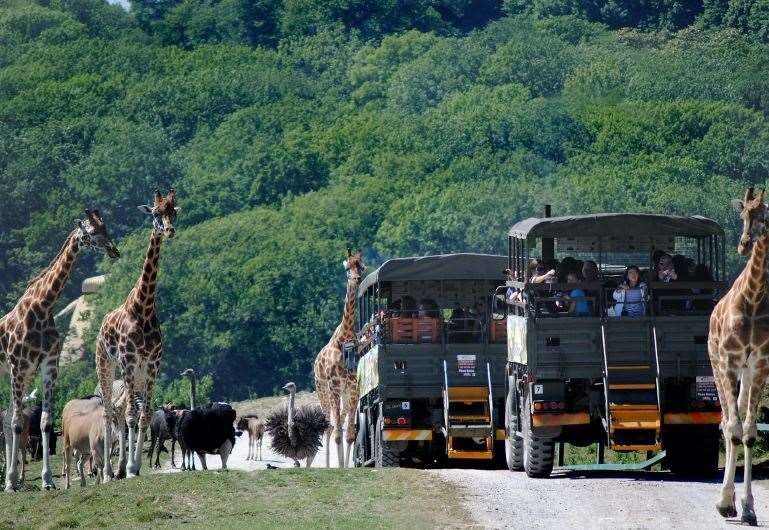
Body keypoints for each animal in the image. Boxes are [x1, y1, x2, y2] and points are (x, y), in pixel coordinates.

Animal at [0, 208, 119, 488]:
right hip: (10, 374)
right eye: (92, 232)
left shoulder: (48, 366)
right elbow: (17, 424)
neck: (43, 306)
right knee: (9, 421)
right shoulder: (19, 366)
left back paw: (13, 479)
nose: (114, 250)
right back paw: (10, 481)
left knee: (8, 419)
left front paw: (47, 481)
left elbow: (44, 422)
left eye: (106, 228)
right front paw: (14, 482)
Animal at [95, 190, 178, 478]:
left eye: (173, 211)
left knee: (120, 408)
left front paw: (135, 465)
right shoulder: (129, 361)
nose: (169, 230)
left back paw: (119, 467)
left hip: (138, 375)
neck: (143, 307)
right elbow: (131, 414)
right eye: (155, 212)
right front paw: (131, 467)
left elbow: (144, 415)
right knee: (110, 411)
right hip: (107, 365)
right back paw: (109, 472)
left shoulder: (152, 364)